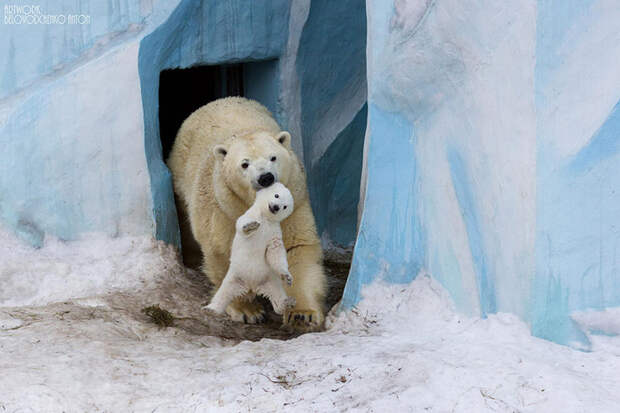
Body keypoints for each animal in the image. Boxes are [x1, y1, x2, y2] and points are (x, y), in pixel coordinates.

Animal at [167, 96, 326, 328]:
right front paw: (247, 310)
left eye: (273, 157)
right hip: (181, 174)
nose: (266, 177)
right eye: (244, 164)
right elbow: (224, 252)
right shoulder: (225, 210)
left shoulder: (295, 203)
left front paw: (302, 314)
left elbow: (295, 247)